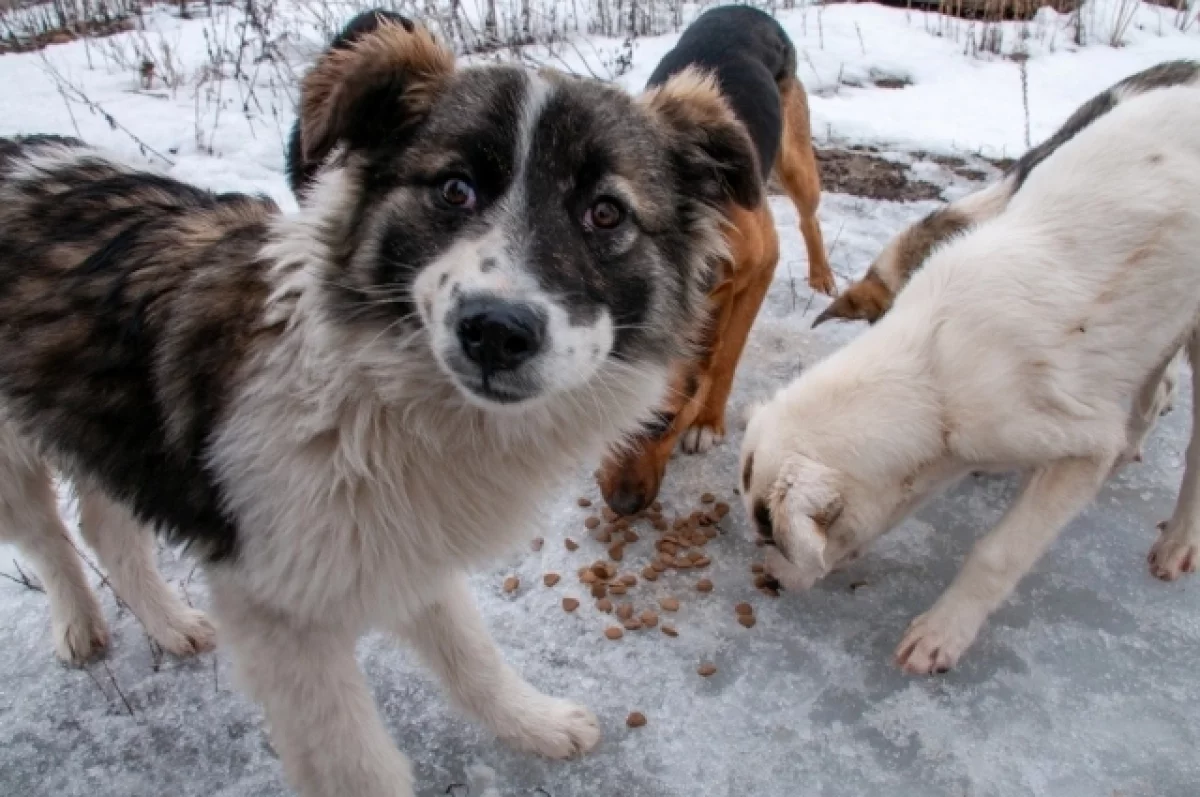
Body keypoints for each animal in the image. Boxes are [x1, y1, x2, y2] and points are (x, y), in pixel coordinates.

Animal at [0, 14, 758, 797]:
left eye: (605, 213)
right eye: (454, 189)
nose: (495, 331)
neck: (370, 398)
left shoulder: (404, 539)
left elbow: (470, 652)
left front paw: (534, 722)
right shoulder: (281, 612)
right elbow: (358, 763)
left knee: (104, 526)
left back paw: (169, 622)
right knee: (50, 536)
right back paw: (79, 626)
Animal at [739, 85, 1200, 672]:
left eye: (774, 536)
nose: (769, 580)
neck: (930, 368)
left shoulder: (1066, 440)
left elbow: (998, 551)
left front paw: (939, 635)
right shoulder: (950, 451)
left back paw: (1178, 543)